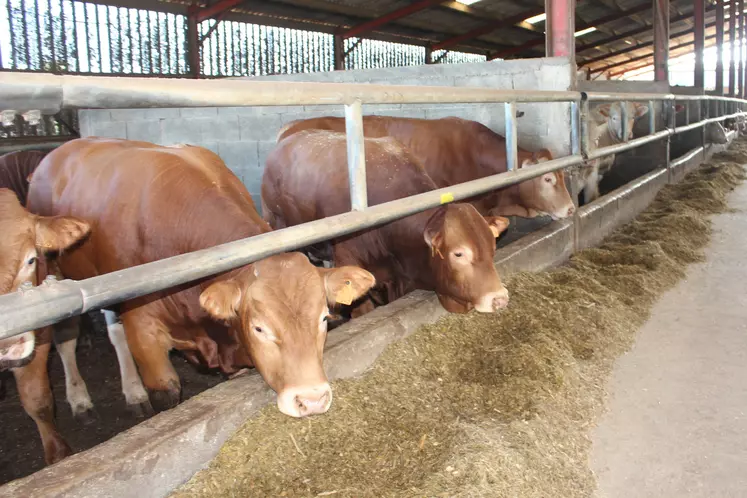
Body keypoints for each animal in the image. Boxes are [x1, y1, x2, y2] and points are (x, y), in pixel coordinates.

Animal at [27, 138, 376, 418]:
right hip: (56, 275)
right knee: (69, 338)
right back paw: (85, 398)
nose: (312, 400)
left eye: (324, 318)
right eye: (259, 328)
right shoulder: (143, 328)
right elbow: (165, 390)